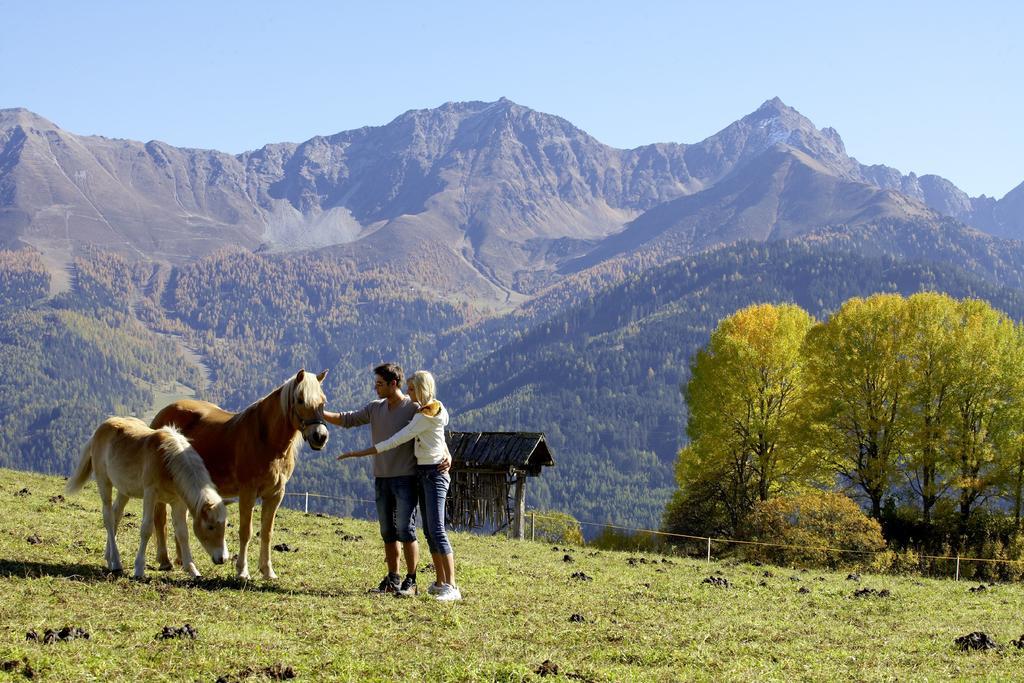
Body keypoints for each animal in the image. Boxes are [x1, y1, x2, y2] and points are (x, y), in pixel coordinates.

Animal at [66, 417, 230, 577]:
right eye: (210, 526)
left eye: (225, 525)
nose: (222, 558)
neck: (168, 462)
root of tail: (101, 428)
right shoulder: (150, 495)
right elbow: (146, 529)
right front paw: (139, 570)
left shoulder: (178, 502)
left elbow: (183, 533)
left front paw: (192, 570)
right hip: (104, 482)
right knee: (108, 517)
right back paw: (117, 563)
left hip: (124, 490)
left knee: (116, 515)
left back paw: (109, 558)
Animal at [149, 370, 327, 581]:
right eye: (300, 399)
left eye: (323, 402)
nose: (320, 436)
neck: (265, 440)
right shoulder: (247, 492)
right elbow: (245, 532)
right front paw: (242, 571)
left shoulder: (275, 495)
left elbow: (267, 532)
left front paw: (268, 571)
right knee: (160, 519)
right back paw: (165, 561)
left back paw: (180, 561)